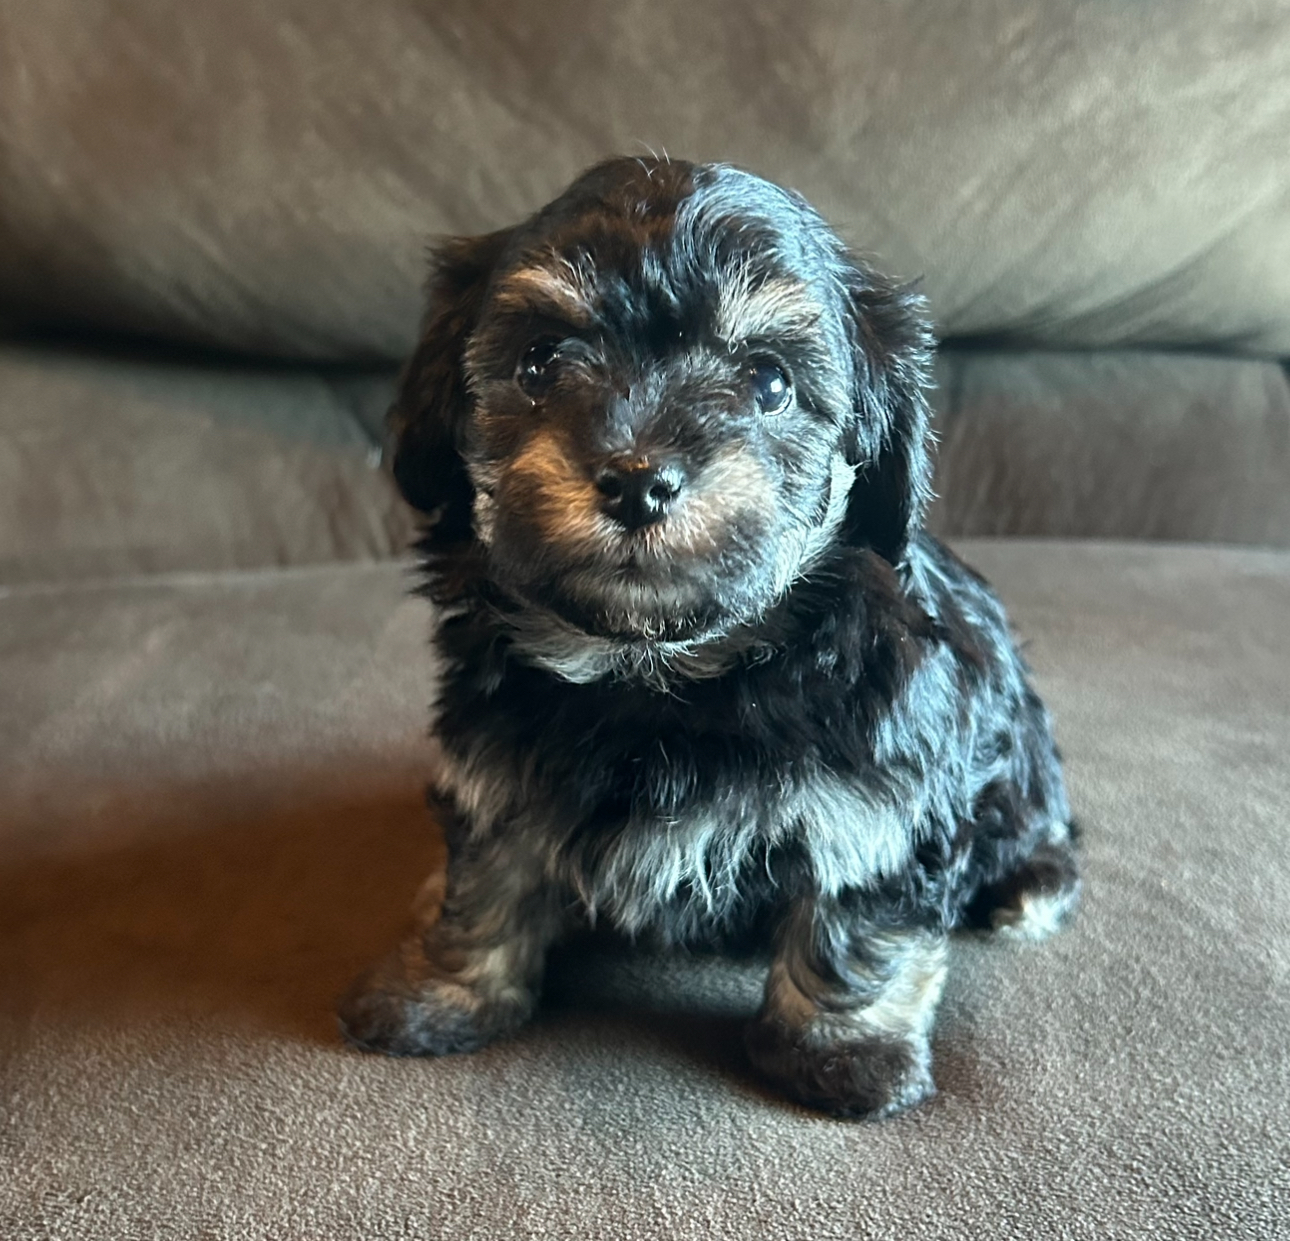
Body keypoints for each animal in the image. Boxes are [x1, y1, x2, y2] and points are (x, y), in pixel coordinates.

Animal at [340, 157, 1078, 1124]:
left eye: (769, 382)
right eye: (540, 361)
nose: (637, 479)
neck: (660, 671)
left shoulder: (881, 802)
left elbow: (858, 916)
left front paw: (841, 1049)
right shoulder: (498, 765)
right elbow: (484, 874)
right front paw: (440, 990)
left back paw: (1028, 889)